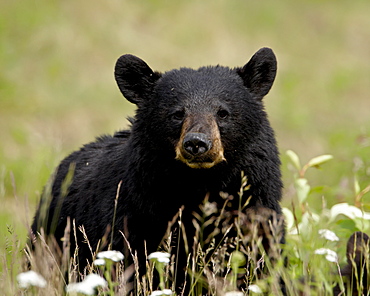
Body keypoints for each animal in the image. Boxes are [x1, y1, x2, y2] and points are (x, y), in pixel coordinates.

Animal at [31, 48, 284, 292]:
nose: (196, 143)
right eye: (177, 113)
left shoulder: (257, 215)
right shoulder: (133, 221)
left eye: (223, 112)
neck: (200, 185)